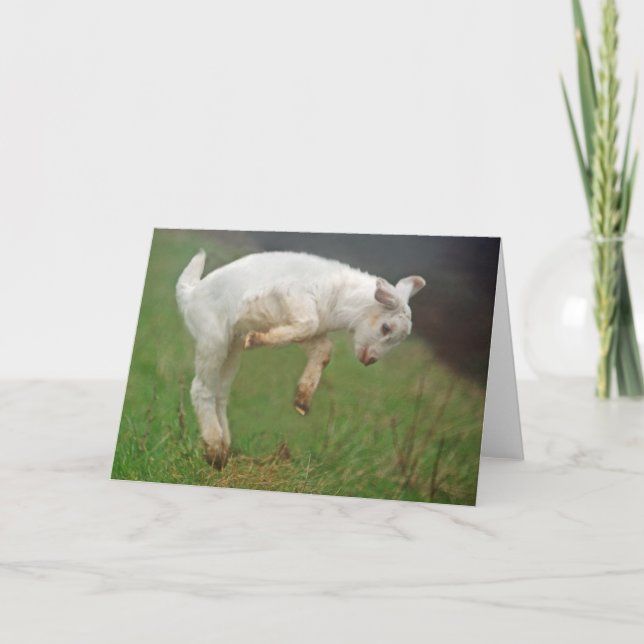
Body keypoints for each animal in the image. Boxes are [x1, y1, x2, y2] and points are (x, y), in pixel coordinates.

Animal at [176, 250, 425, 469]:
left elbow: (323, 349)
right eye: (386, 328)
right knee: (200, 389)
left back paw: (223, 450)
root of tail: (190, 294)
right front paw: (256, 339)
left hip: (232, 347)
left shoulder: (305, 329)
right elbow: (309, 325)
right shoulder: (292, 296)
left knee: (220, 392)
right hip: (213, 339)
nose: (370, 359)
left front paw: (302, 403)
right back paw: (215, 451)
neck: (340, 299)